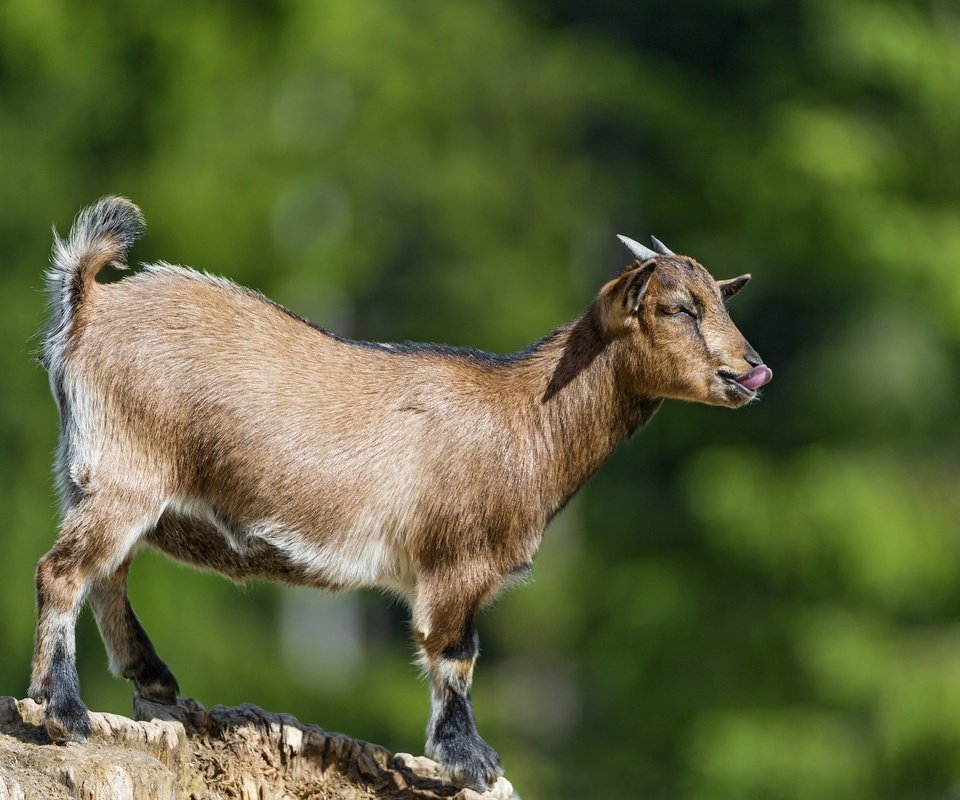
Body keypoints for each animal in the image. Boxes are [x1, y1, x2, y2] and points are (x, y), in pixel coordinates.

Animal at [30, 197, 772, 792]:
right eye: (677, 308)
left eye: (721, 300)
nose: (753, 370)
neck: (525, 416)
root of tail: (89, 304)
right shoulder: (456, 563)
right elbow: (455, 655)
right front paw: (472, 761)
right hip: (125, 476)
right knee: (62, 572)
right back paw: (64, 712)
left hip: (98, 482)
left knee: (107, 572)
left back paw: (152, 680)